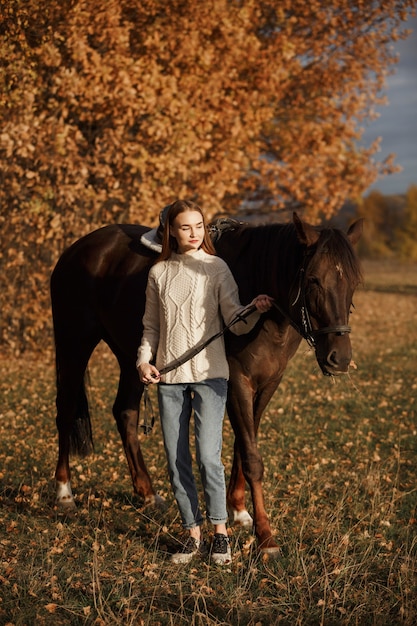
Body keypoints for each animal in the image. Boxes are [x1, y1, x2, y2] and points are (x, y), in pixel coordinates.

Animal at [51, 211, 360, 552]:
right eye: (313, 279)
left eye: (353, 283)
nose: (339, 358)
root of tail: (76, 249)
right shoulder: (237, 381)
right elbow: (251, 456)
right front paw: (265, 536)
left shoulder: (267, 385)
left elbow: (243, 445)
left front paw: (239, 511)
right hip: (74, 343)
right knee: (66, 410)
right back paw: (64, 492)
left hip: (133, 357)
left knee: (125, 413)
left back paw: (147, 493)